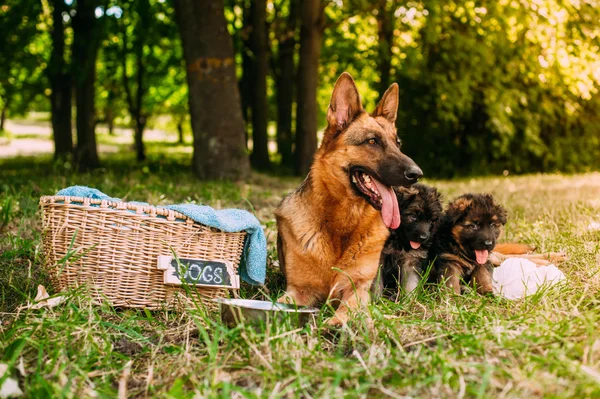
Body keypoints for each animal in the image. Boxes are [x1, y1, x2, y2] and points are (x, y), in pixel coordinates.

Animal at [276, 73, 422, 326]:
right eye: (372, 141)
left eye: (398, 143)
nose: (417, 174)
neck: (341, 226)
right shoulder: (298, 291)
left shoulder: (357, 289)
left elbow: (347, 309)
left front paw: (336, 324)